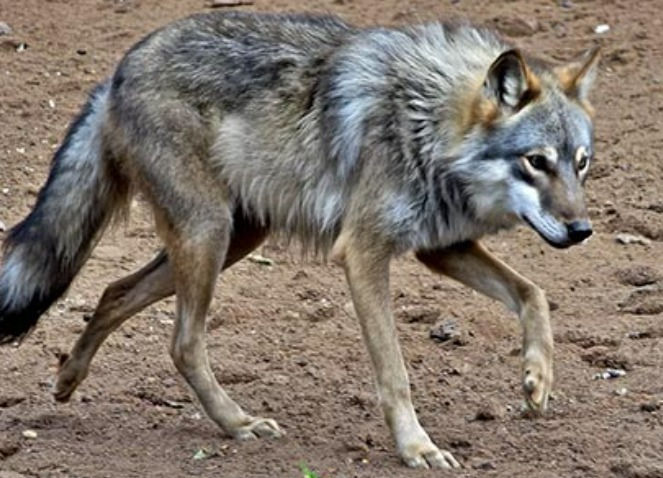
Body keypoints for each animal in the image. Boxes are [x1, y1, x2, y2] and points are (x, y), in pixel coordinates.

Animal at [0, 12, 599, 469]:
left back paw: (67, 380)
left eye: (581, 164)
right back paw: (237, 423)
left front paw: (537, 379)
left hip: (232, 239)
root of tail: (117, 72)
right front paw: (417, 449)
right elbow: (395, 373)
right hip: (209, 235)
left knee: (114, 293)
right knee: (183, 343)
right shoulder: (363, 254)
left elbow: (532, 295)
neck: (425, 123)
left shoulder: (440, 248)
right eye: (536, 162)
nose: (582, 231)